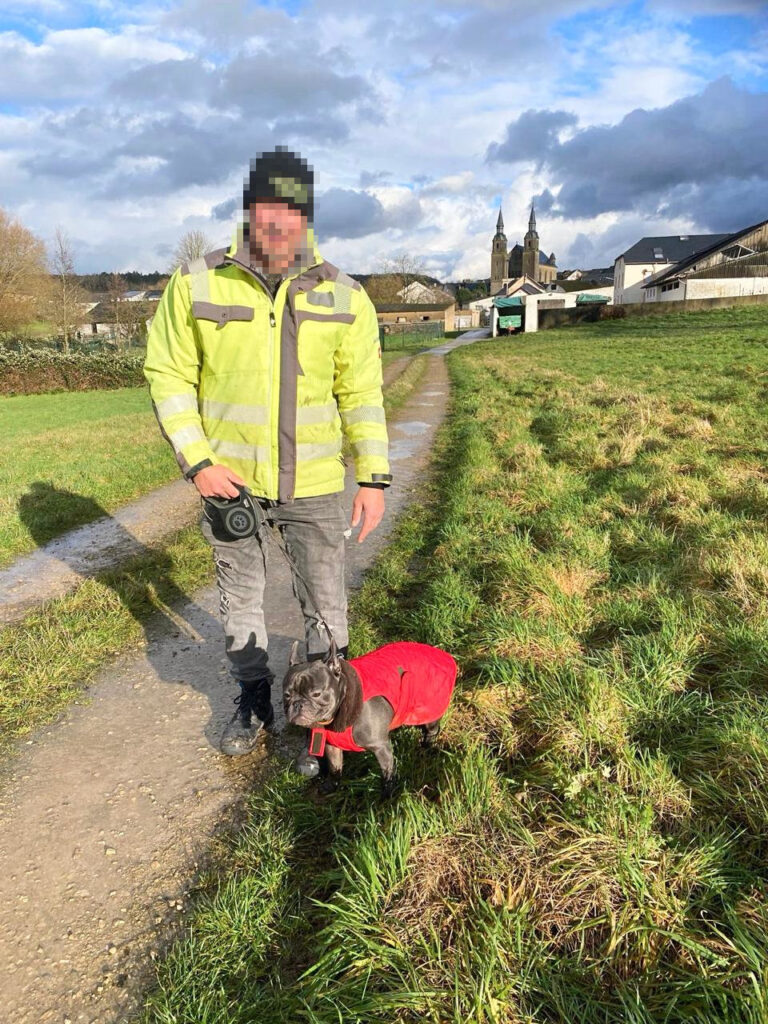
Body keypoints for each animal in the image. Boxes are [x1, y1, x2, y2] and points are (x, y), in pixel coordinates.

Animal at [286, 634, 460, 794]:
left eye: (316, 694)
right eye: (286, 695)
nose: (297, 703)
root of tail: (444, 655)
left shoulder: (381, 747)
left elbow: (387, 773)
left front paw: (388, 796)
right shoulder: (332, 746)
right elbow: (335, 767)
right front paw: (331, 785)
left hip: (428, 709)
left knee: (431, 730)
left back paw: (427, 747)